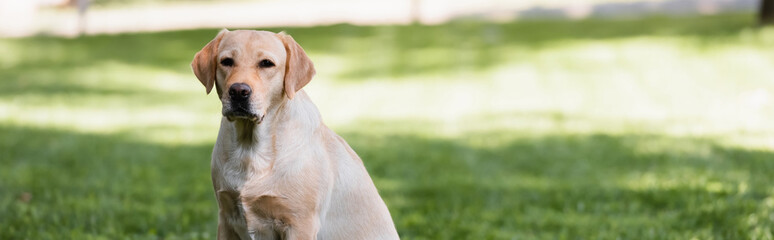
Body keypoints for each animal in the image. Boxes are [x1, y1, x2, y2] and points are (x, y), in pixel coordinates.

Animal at [192, 29, 404, 239]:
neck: (250, 148)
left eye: (266, 63)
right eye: (226, 61)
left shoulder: (300, 223)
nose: (238, 91)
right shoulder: (226, 218)